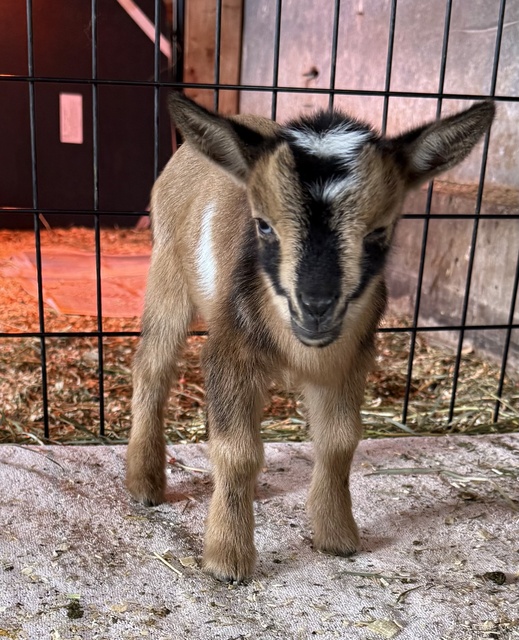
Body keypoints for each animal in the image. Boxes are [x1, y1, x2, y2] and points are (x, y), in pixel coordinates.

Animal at [126, 94, 495, 583]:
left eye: (379, 232)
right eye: (263, 226)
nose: (315, 308)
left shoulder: (349, 358)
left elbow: (340, 440)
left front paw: (338, 537)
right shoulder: (231, 350)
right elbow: (238, 450)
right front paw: (227, 558)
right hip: (167, 268)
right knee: (154, 366)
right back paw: (144, 483)